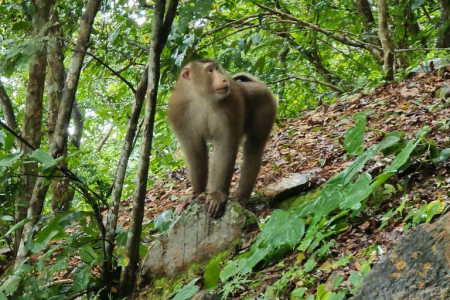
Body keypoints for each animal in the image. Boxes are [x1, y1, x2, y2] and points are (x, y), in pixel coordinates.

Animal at [167, 58, 276, 218]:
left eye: (217, 69)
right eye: (210, 70)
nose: (224, 79)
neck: (201, 97)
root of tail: (255, 84)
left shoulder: (230, 104)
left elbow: (225, 145)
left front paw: (217, 195)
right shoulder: (178, 111)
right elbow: (194, 149)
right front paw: (196, 193)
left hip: (266, 104)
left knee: (254, 148)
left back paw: (242, 198)